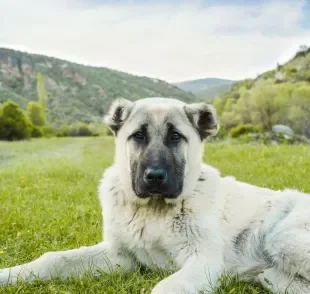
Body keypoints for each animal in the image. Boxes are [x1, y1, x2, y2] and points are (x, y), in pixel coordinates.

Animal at [0, 97, 310, 292]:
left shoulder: (203, 261)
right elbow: (53, 259)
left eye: (175, 137)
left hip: (283, 238)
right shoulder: (120, 256)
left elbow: (165, 286)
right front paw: (9, 275)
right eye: (138, 136)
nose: (155, 177)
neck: (152, 210)